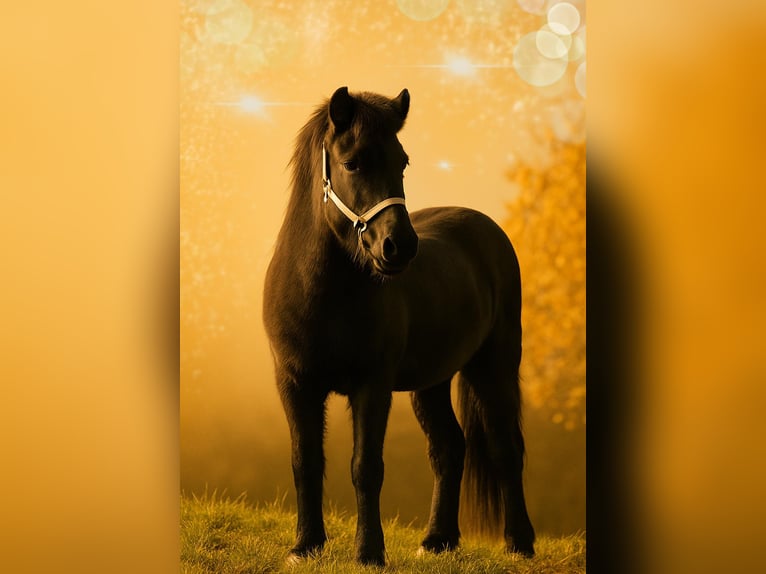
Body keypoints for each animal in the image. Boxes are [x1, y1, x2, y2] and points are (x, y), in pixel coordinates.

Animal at [263, 87, 535, 566]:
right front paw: (305, 546)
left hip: (495, 367)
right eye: (352, 162)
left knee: (506, 447)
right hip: (432, 382)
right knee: (448, 447)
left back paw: (519, 543)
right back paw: (437, 540)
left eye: (402, 161)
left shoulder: (372, 385)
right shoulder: (294, 383)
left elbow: (366, 467)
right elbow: (305, 461)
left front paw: (369, 552)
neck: (323, 296)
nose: (400, 246)